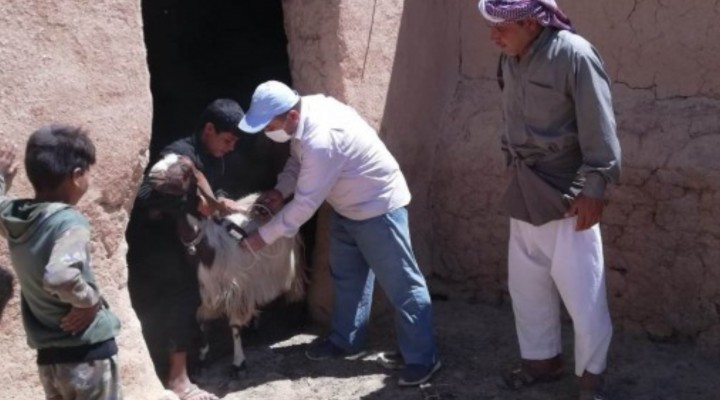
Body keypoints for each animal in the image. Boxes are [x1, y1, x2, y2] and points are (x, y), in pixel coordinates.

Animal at [146, 154, 304, 376]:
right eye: (162, 157)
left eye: (185, 168)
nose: (152, 175)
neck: (208, 248)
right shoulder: (207, 292)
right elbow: (202, 324)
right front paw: (202, 359)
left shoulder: (234, 289)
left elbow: (234, 327)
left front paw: (238, 363)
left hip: (288, 263)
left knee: (294, 286)